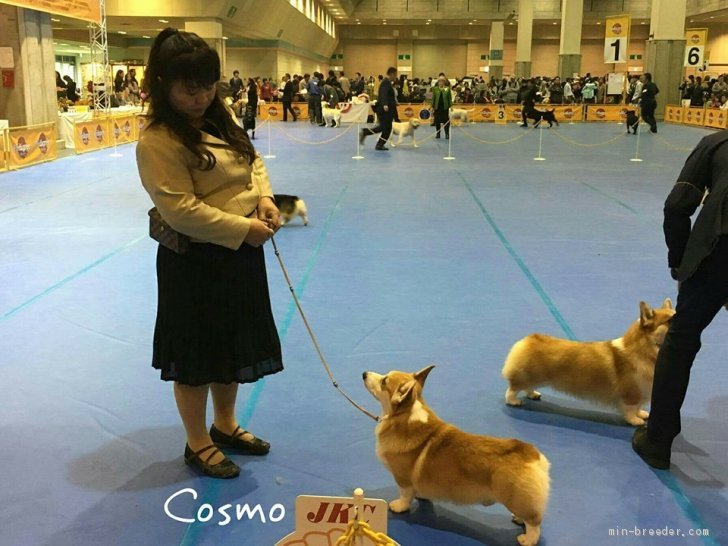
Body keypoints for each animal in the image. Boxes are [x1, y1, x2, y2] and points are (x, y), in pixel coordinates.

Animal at [364, 364, 552, 546]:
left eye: (384, 381)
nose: (364, 373)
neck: (403, 415)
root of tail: (531, 454)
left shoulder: (402, 478)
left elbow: (404, 495)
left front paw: (398, 506)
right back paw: (518, 520)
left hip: (514, 498)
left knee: (534, 522)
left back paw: (527, 539)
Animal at [504, 298, 672, 424]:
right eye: (670, 321)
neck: (644, 351)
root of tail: (528, 340)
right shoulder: (632, 393)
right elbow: (631, 409)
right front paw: (636, 421)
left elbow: (638, 407)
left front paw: (642, 414)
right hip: (527, 376)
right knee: (512, 389)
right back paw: (514, 401)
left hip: (533, 377)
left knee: (527, 387)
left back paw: (533, 394)